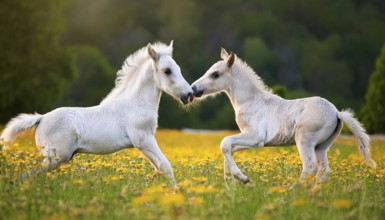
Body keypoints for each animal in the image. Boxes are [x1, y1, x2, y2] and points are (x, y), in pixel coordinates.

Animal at [0, 40, 192, 184]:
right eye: (167, 71)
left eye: (179, 69)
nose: (189, 95)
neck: (136, 102)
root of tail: (41, 118)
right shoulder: (143, 139)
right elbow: (166, 166)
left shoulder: (144, 142)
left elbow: (159, 167)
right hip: (56, 157)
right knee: (28, 175)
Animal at [192, 48, 376, 186]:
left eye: (215, 74)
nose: (194, 89)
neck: (251, 101)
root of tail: (337, 112)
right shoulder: (253, 141)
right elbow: (229, 149)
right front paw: (231, 184)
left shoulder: (256, 137)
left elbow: (225, 143)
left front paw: (242, 179)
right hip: (321, 147)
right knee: (323, 172)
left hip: (304, 140)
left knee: (310, 167)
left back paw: (292, 193)